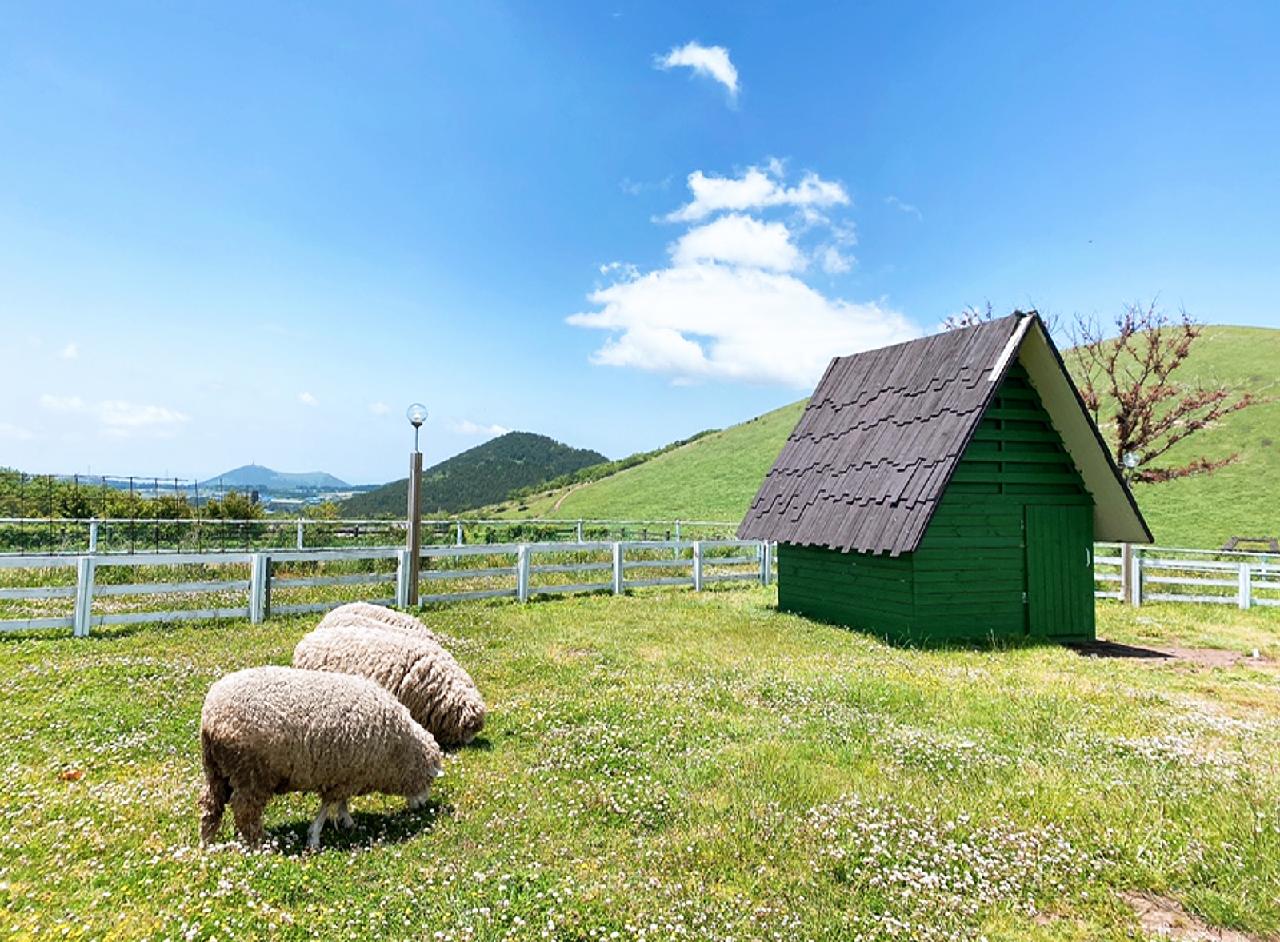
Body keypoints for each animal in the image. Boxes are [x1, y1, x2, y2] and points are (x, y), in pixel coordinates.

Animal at [197, 660, 442, 854]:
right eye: (429, 780)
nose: (422, 806)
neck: (398, 748)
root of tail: (211, 715)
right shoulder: (342, 778)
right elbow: (327, 805)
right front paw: (315, 837)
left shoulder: (345, 774)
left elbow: (341, 802)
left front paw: (347, 822)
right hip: (250, 772)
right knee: (244, 810)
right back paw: (260, 844)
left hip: (216, 769)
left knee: (210, 803)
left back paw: (206, 841)